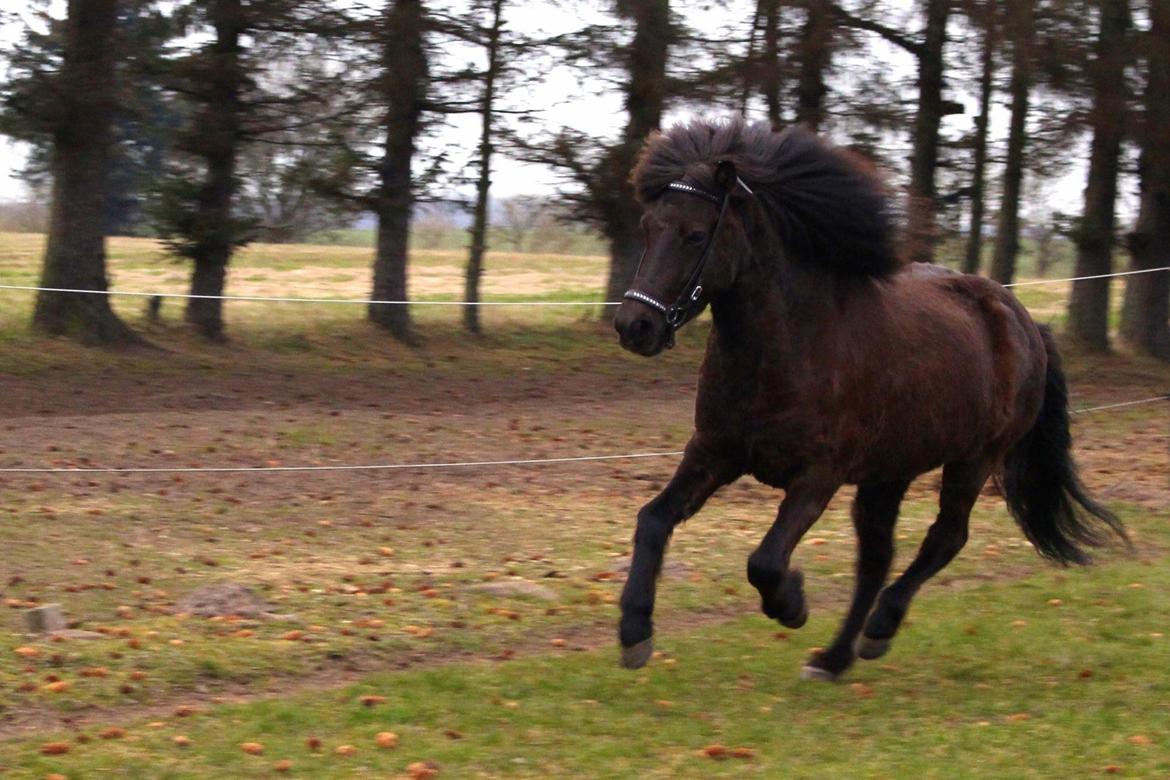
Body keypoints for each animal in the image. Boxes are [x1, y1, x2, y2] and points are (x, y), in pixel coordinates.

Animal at [613, 117, 1123, 682]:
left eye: (696, 234)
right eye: (648, 227)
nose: (635, 326)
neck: (786, 346)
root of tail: (1024, 320)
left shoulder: (819, 474)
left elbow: (764, 562)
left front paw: (793, 604)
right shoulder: (713, 452)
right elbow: (652, 520)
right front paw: (634, 634)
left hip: (975, 458)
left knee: (945, 538)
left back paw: (878, 629)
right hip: (889, 473)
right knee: (878, 558)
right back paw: (834, 659)